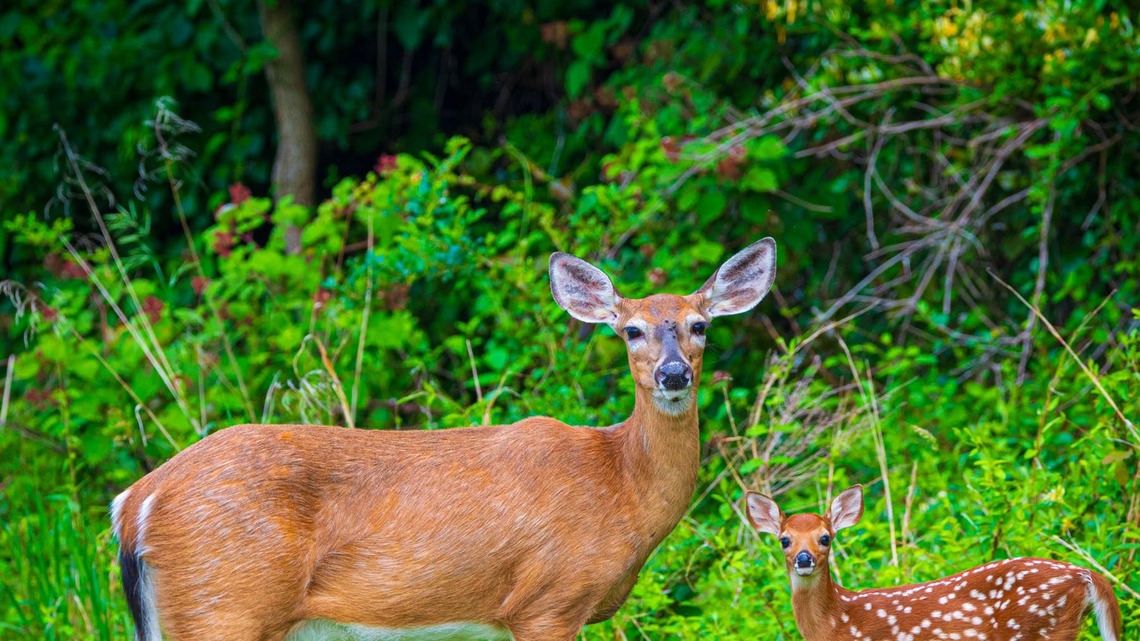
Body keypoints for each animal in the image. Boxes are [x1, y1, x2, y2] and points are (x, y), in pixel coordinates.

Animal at [110, 238, 777, 641]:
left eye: (700, 325)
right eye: (631, 330)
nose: (674, 374)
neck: (622, 487)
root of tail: (135, 502)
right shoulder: (549, 601)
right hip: (223, 604)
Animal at [745, 484, 1123, 641]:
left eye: (825, 537)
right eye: (784, 540)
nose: (804, 558)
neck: (835, 624)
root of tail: (1084, 574)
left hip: (1036, 629)